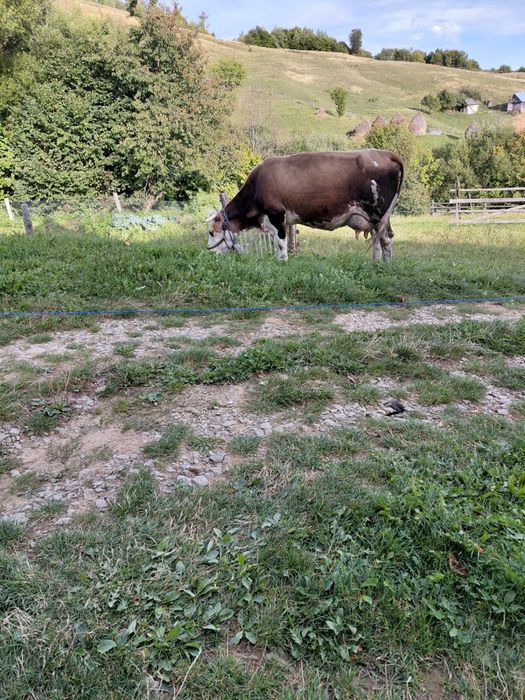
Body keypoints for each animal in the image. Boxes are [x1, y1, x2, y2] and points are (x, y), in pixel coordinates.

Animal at [207, 149, 404, 262]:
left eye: (211, 232)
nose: (209, 252)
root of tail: (384, 153)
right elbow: (278, 243)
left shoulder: (277, 215)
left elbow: (281, 243)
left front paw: (282, 262)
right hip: (379, 218)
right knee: (380, 239)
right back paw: (376, 264)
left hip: (377, 213)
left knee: (386, 239)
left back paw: (384, 267)